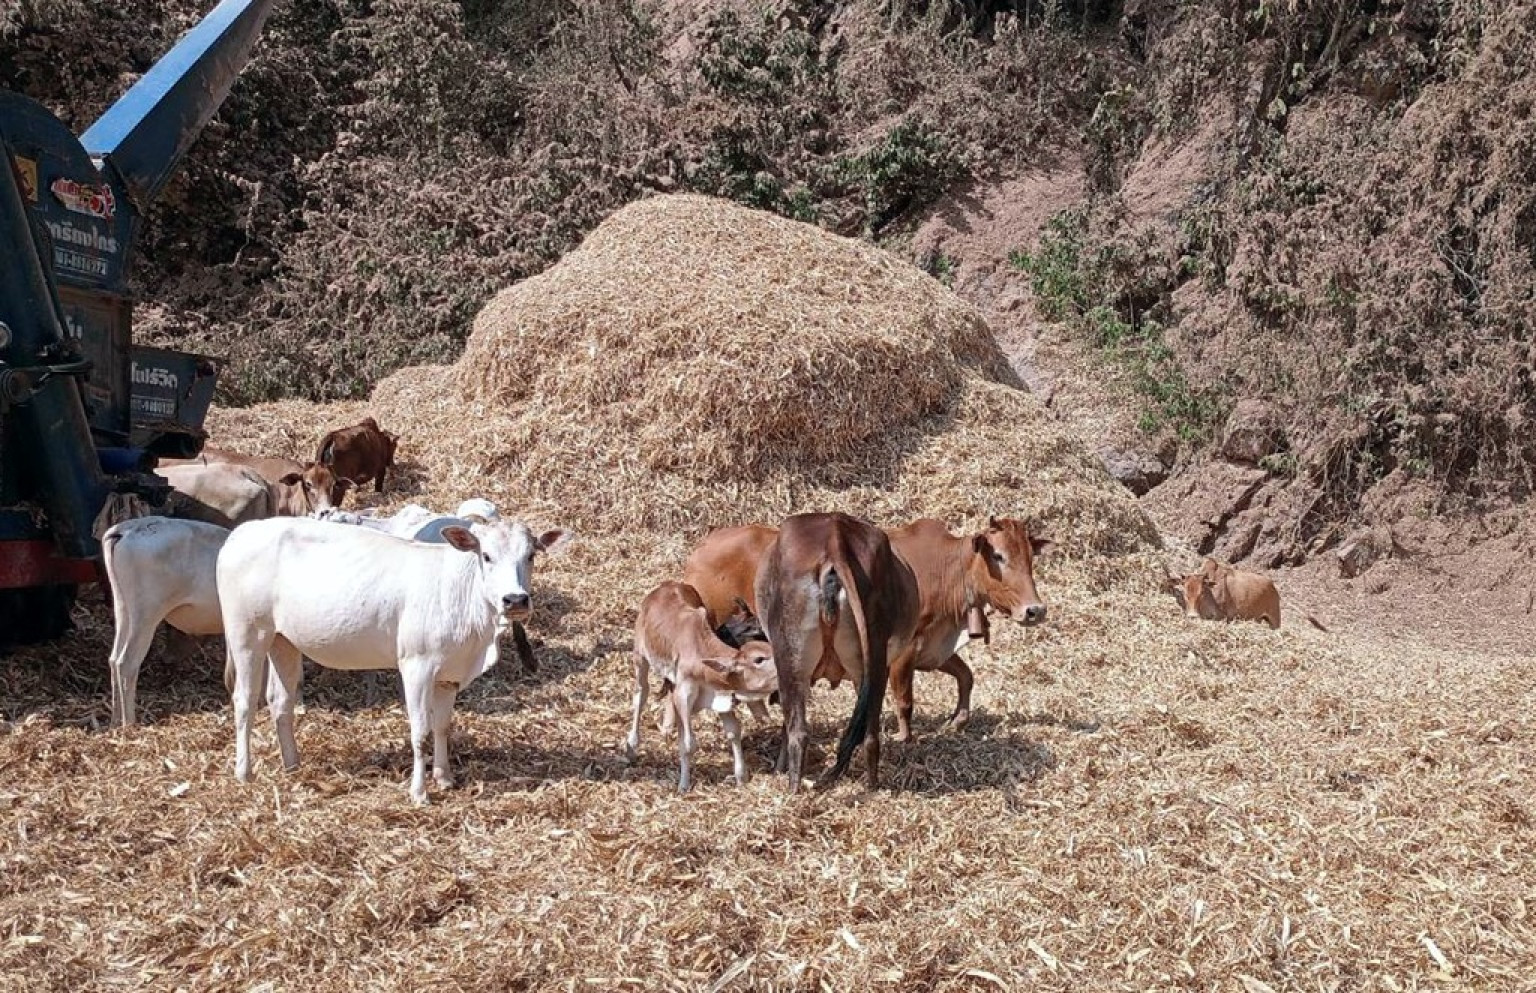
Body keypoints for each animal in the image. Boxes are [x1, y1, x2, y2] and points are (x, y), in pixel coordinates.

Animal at [218, 516, 567, 803]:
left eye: (531, 555)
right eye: (486, 556)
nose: (515, 600)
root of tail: (240, 533)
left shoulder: (450, 673)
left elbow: (443, 726)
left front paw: (444, 777)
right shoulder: (417, 665)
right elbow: (421, 731)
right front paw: (419, 792)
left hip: (284, 640)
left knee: (280, 700)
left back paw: (292, 765)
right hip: (247, 632)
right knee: (245, 700)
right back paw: (244, 772)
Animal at [625, 581, 777, 792]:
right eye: (759, 659)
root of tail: (666, 585)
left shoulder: (722, 695)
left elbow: (733, 731)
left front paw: (741, 776)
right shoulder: (683, 694)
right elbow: (689, 744)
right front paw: (683, 784)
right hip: (640, 657)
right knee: (640, 696)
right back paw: (632, 746)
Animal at [684, 515, 1053, 742]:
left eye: (1030, 558)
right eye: (999, 557)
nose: (1035, 610)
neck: (947, 571)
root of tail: (701, 549)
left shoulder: (934, 650)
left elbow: (966, 676)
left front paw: (958, 720)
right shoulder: (905, 652)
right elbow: (905, 699)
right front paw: (904, 736)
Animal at [753, 512, 918, 793]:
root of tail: (834, 539)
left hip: (790, 661)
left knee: (798, 732)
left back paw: (793, 791)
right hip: (873, 661)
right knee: (870, 733)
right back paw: (871, 788)